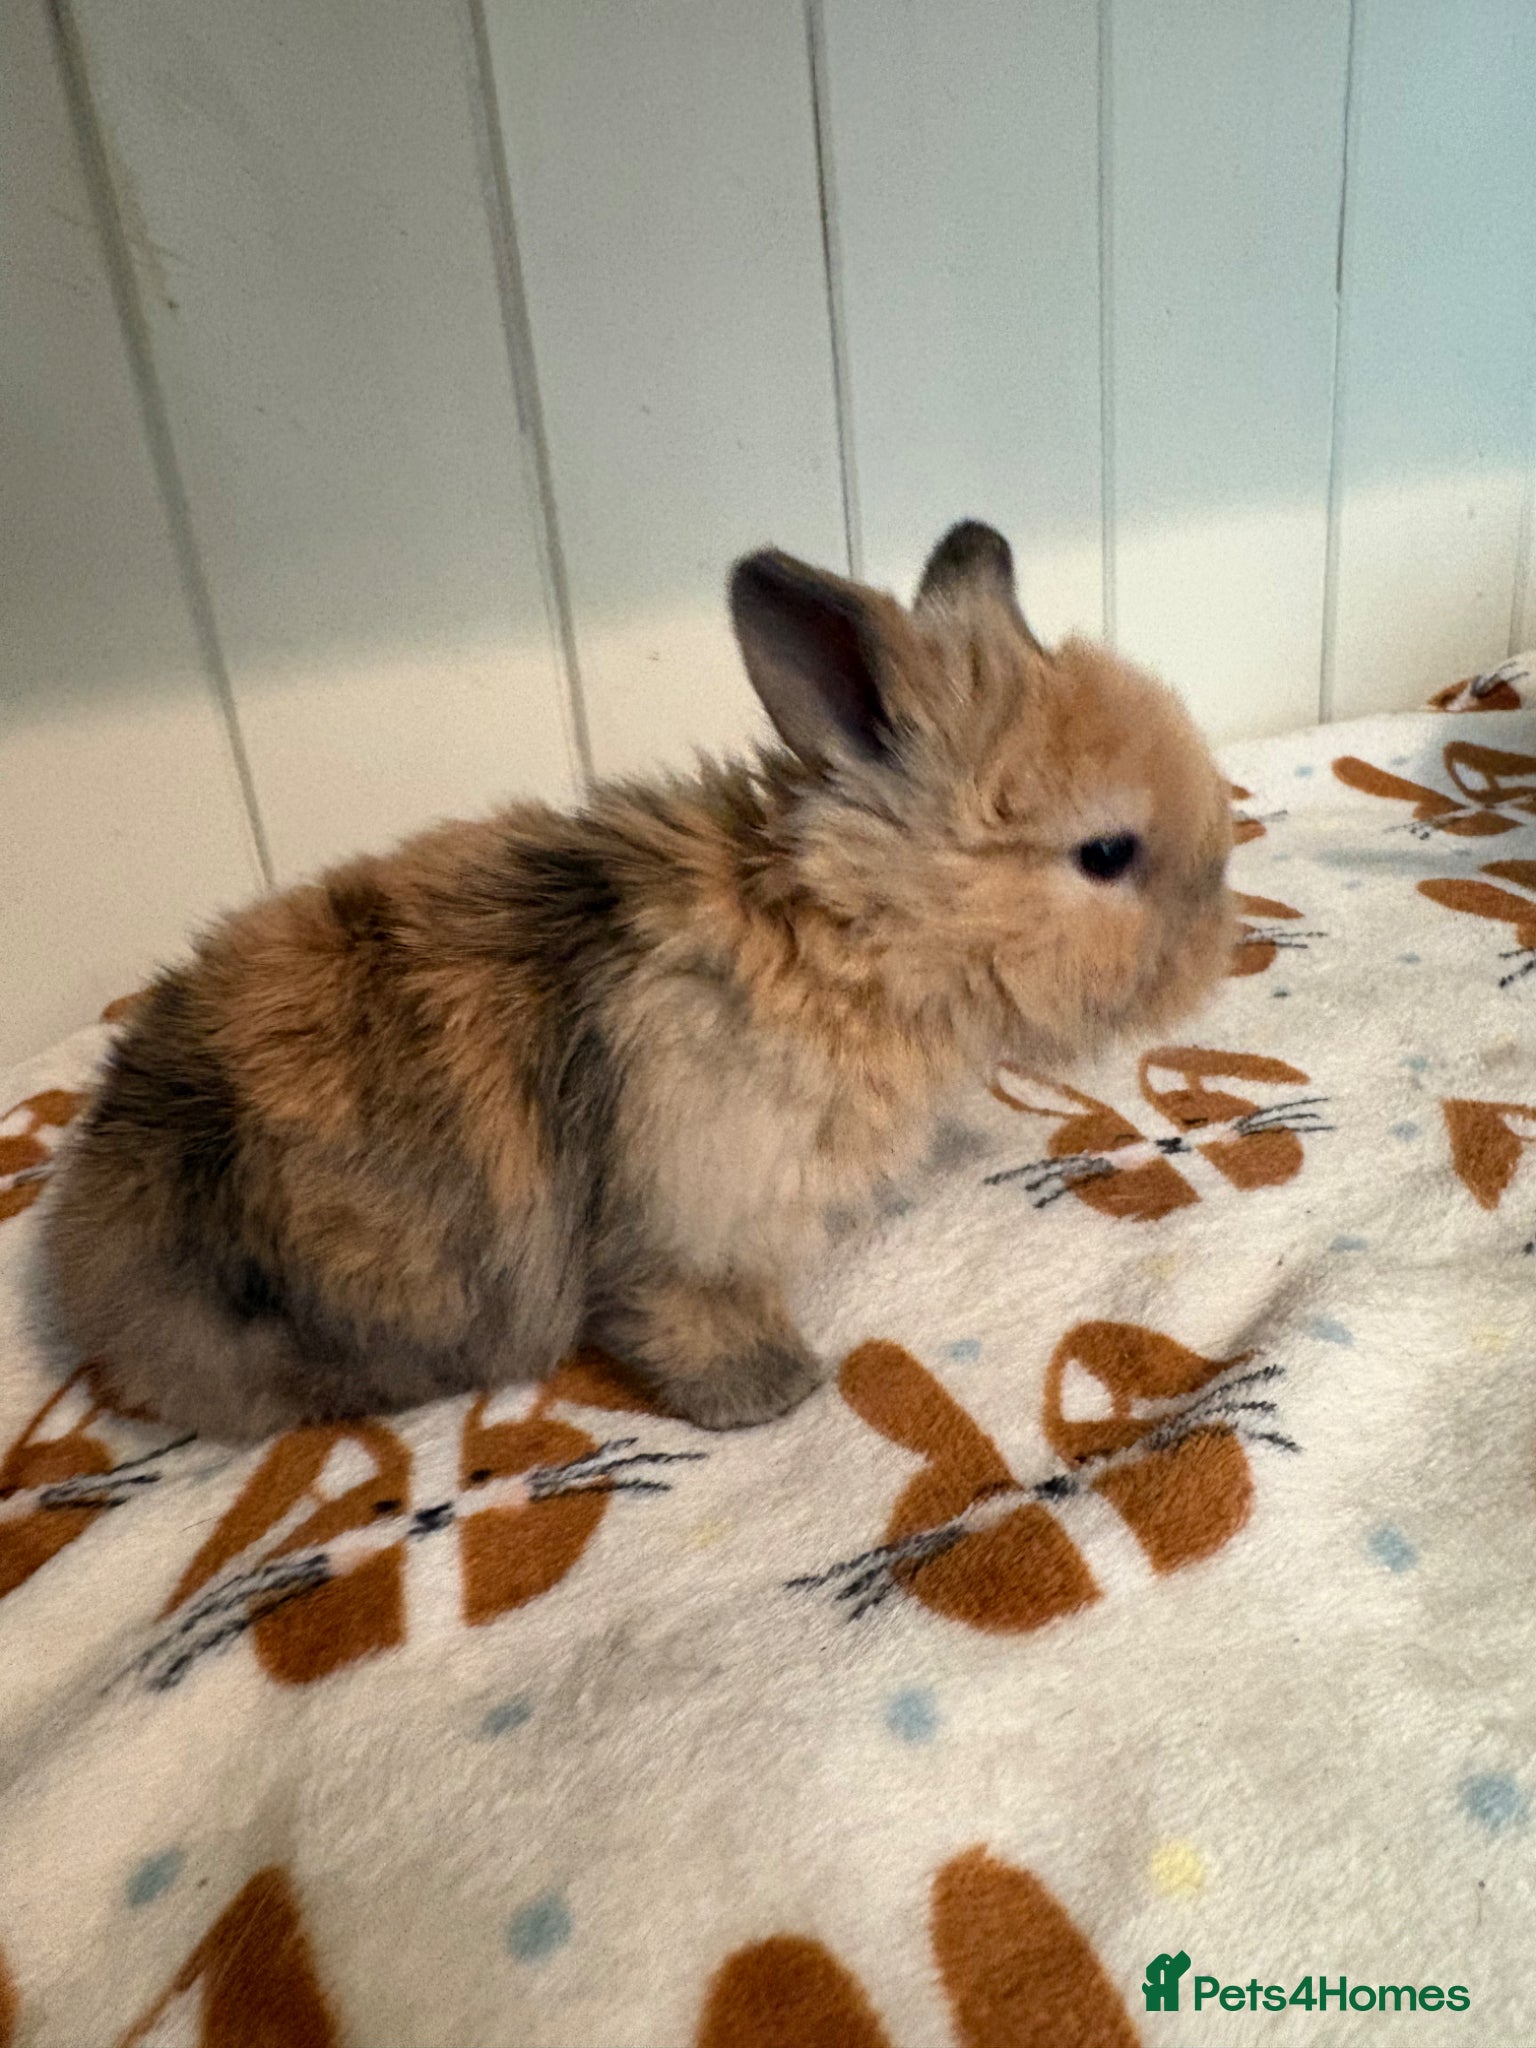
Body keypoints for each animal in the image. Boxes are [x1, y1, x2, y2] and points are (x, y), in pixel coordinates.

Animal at [40, 521, 1235, 1442]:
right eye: (1106, 854)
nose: (1219, 941)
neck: (833, 935)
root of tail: (89, 1250)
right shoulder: (689, 1215)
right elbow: (685, 1311)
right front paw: (771, 1393)